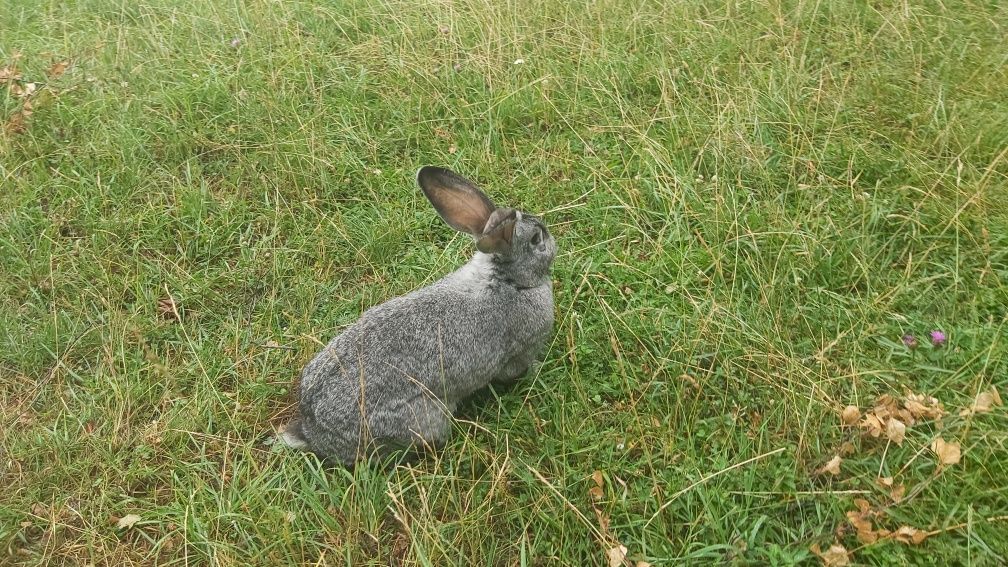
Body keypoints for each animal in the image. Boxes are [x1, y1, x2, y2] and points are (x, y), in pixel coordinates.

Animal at [276, 165, 556, 466]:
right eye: (536, 239)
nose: (552, 240)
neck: (507, 280)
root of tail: (315, 433)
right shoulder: (519, 352)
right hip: (423, 417)